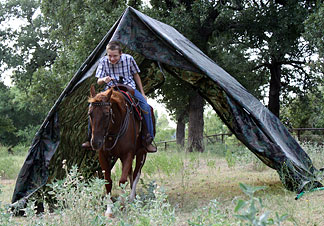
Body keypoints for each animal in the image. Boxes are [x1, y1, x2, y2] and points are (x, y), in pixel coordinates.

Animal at [88, 85, 149, 217]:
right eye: (90, 114)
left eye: (106, 114)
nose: (95, 142)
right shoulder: (103, 156)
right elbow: (108, 181)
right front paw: (109, 210)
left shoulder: (128, 154)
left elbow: (122, 181)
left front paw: (122, 204)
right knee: (131, 173)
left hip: (142, 153)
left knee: (136, 174)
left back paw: (131, 199)